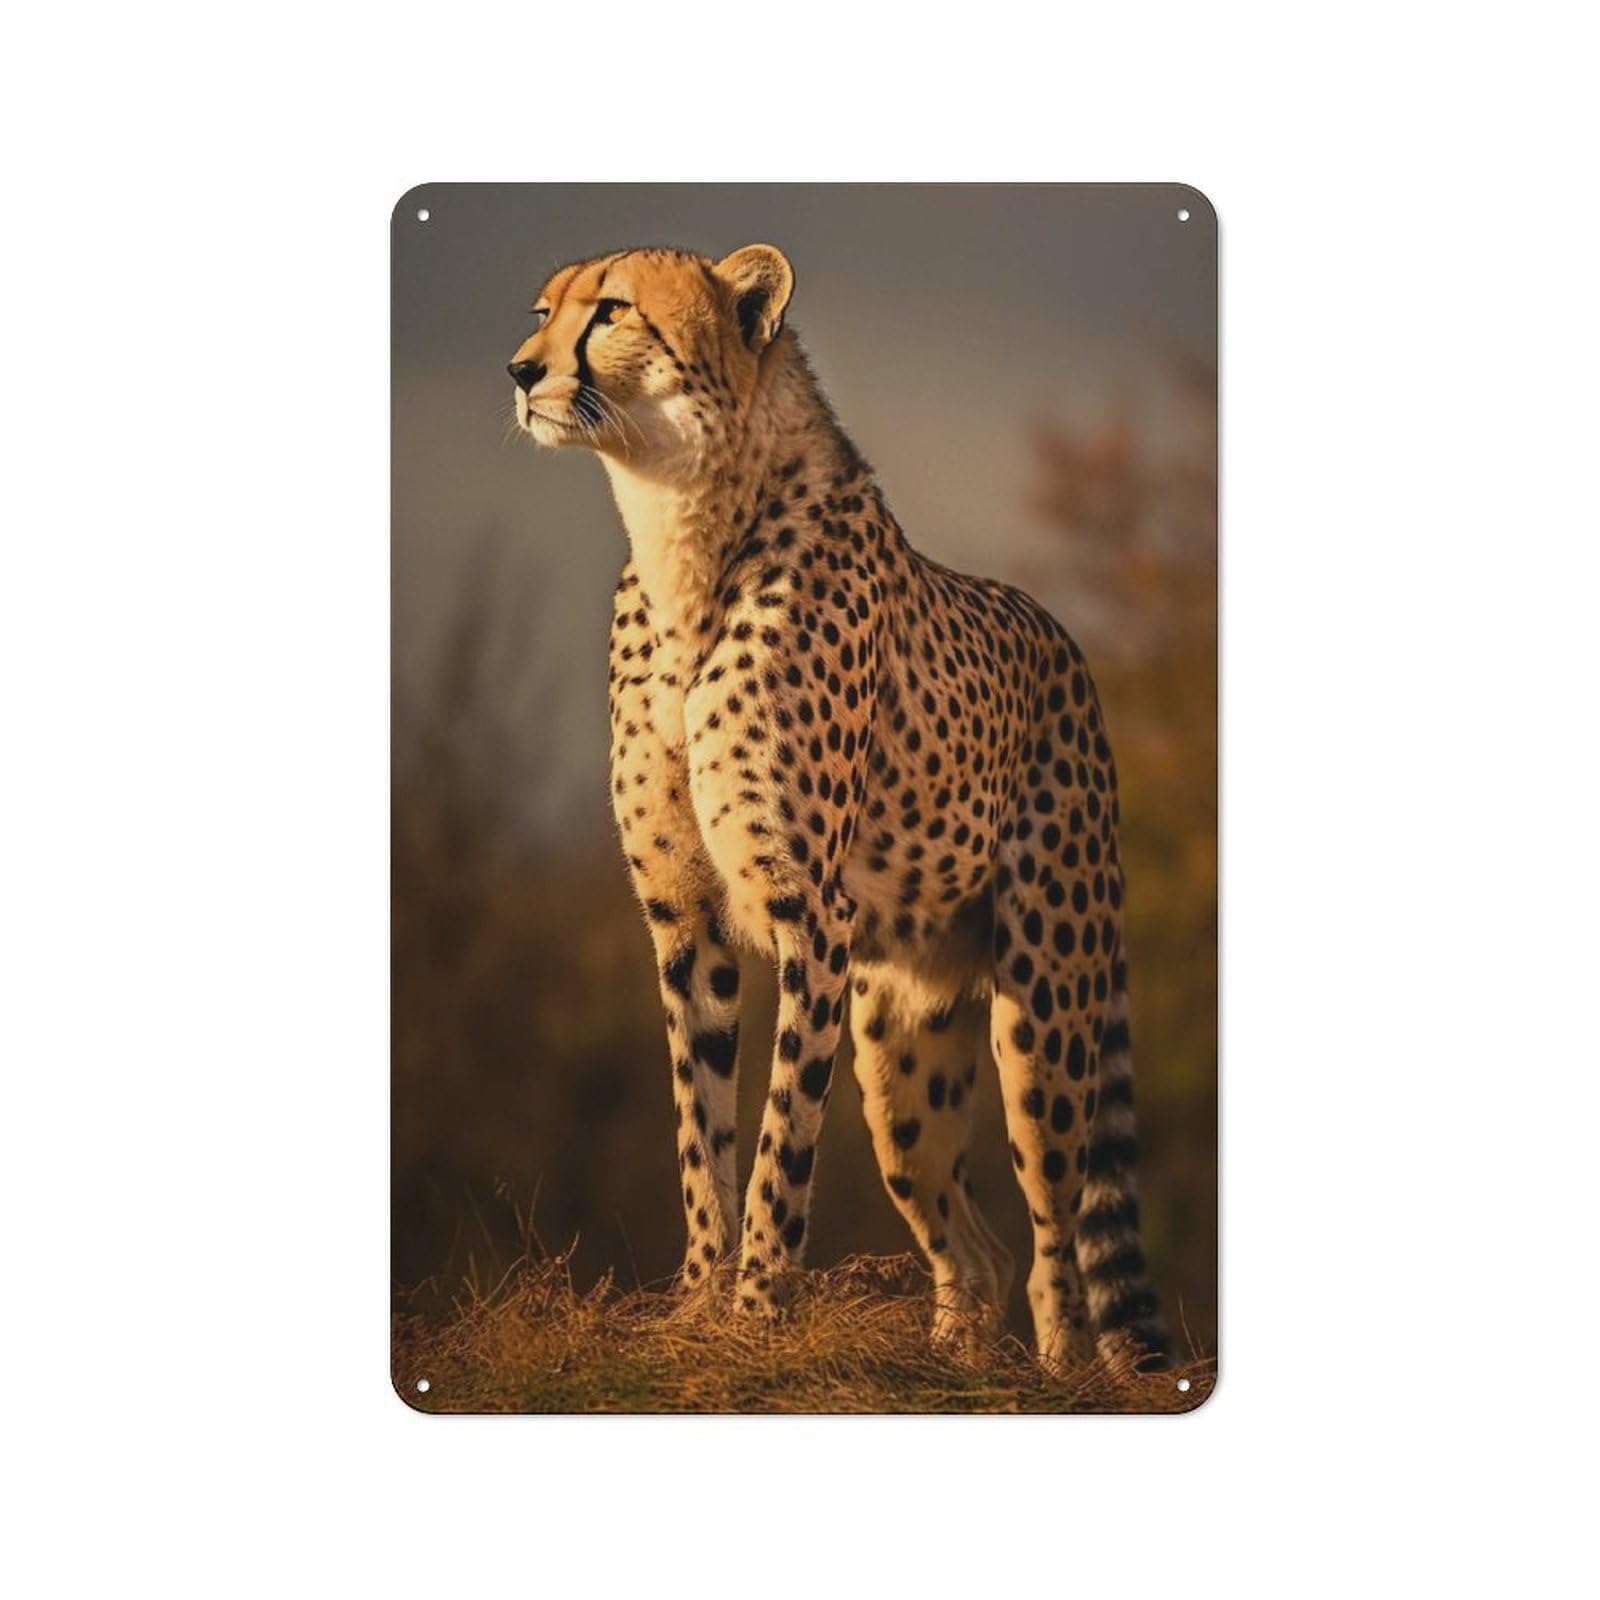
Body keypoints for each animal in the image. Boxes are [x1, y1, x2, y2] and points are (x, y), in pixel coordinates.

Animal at [507, 243, 1170, 1371]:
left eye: (612, 312)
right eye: (544, 308)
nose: (518, 370)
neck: (682, 532)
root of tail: (1067, 644)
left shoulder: (808, 915)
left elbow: (781, 1141)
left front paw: (756, 1314)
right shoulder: (685, 920)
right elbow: (701, 1133)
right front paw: (698, 1304)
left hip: (1042, 1006)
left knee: (1052, 1238)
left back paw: (1059, 1369)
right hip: (902, 1047)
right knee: (975, 1247)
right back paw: (949, 1359)